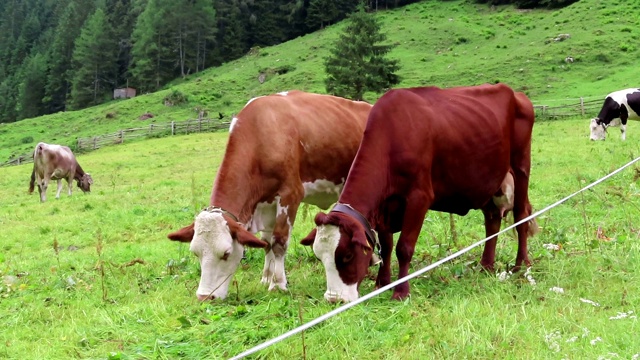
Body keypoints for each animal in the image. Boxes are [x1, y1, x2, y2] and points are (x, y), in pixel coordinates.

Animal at [168, 90, 372, 300]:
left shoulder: (290, 195)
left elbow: (279, 242)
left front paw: (278, 284)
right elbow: (266, 242)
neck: (259, 135)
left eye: (225, 253)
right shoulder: (265, 203)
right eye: (196, 253)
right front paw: (266, 277)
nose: (204, 297)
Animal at [302, 84, 536, 304]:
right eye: (320, 257)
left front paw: (401, 292)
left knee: (521, 216)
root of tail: (516, 94)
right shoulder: (385, 205)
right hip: (488, 179)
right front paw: (382, 283)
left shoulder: (419, 197)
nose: (334, 299)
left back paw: (520, 264)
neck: (392, 136)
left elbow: (404, 247)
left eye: (347, 255)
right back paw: (486, 265)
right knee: (492, 220)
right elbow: (386, 246)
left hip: (521, 166)